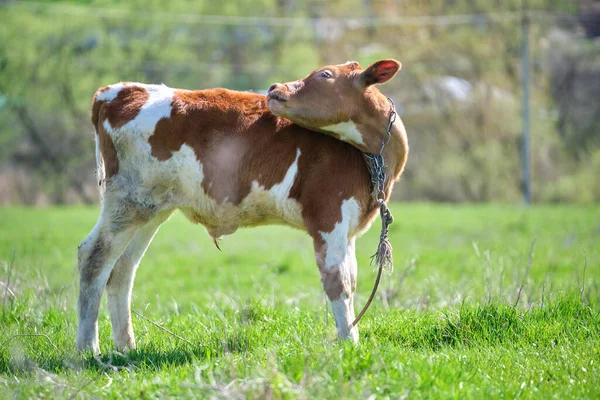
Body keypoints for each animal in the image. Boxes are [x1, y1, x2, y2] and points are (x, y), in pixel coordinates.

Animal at [77, 57, 408, 352]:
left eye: (325, 75)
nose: (274, 87)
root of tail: (119, 90)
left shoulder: (347, 226)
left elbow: (351, 278)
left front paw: (351, 336)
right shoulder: (328, 217)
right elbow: (338, 281)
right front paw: (348, 342)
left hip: (151, 208)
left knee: (122, 269)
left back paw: (126, 346)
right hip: (127, 201)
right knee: (94, 257)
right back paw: (88, 348)